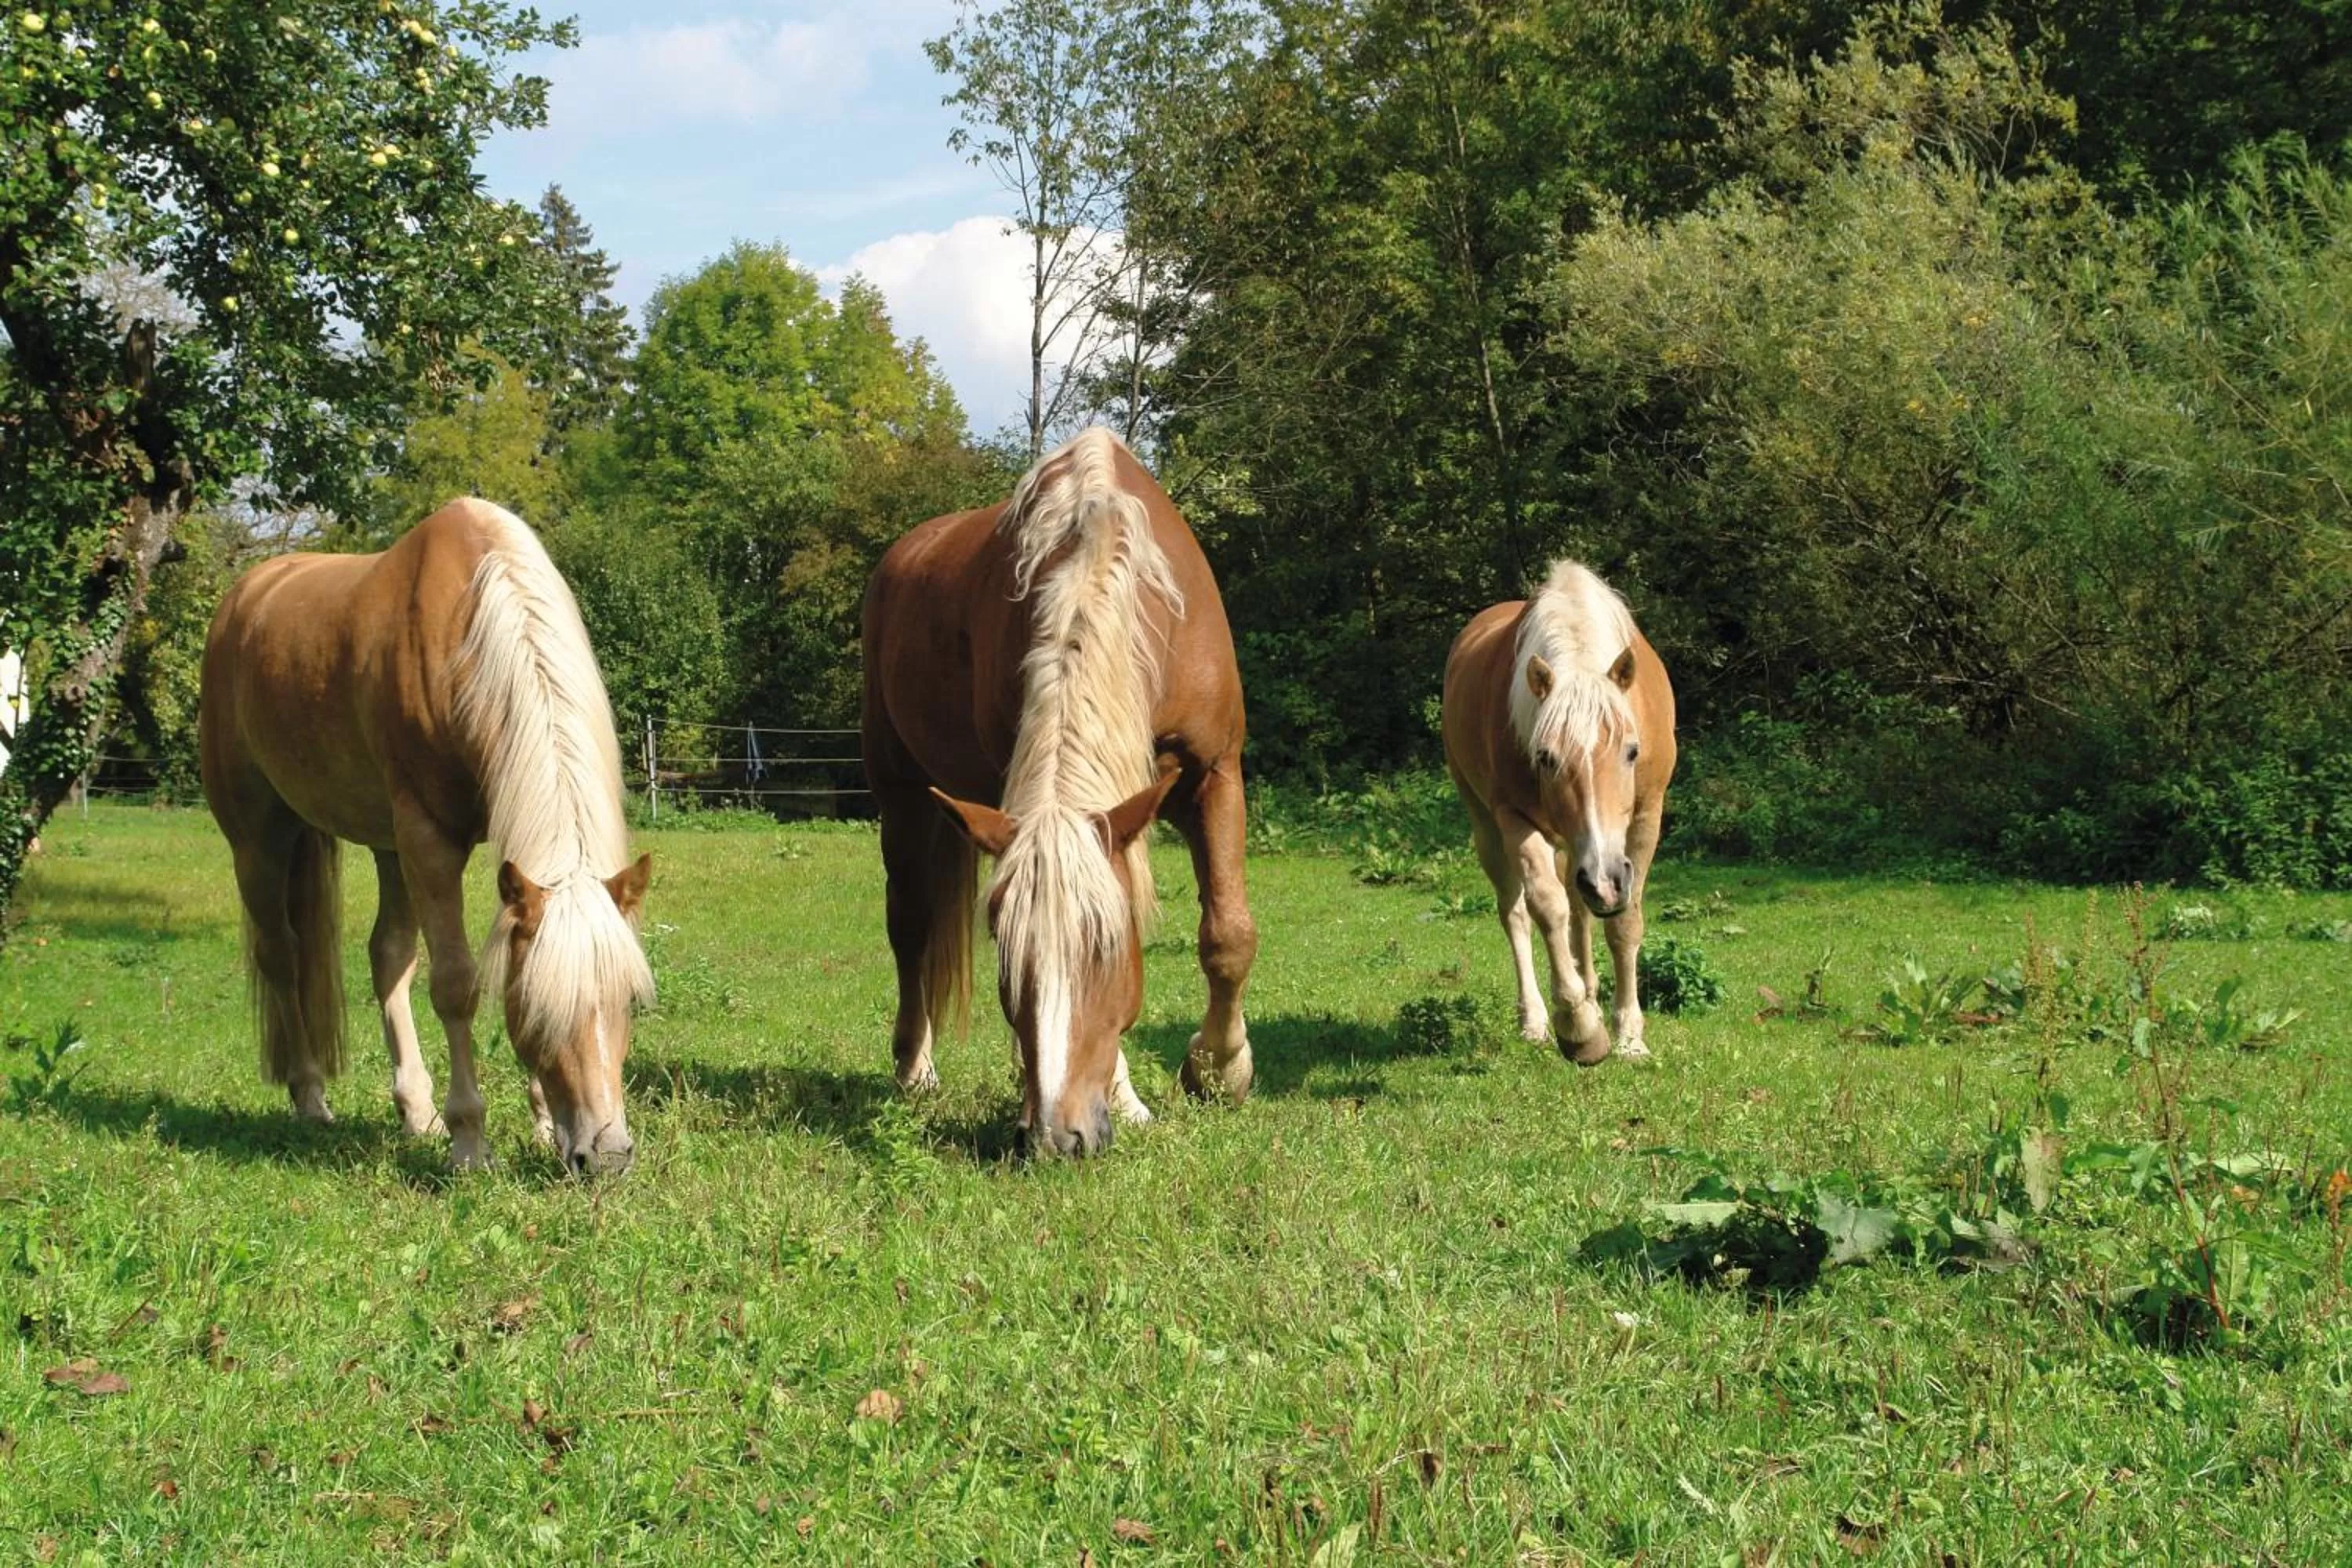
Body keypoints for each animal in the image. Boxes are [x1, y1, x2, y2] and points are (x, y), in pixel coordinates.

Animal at [199, 498, 654, 1173]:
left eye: (626, 1001)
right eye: (541, 1009)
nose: (606, 1157)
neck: (468, 628)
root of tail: (246, 594)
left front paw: (541, 1125)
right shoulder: (430, 840)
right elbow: (456, 984)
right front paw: (469, 1140)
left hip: (386, 848)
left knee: (387, 955)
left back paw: (416, 1111)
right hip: (261, 839)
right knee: (280, 953)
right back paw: (310, 1097)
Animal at [861, 427, 1258, 1157]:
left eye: (1108, 944)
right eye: (1007, 948)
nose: (1055, 1134)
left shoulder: (1215, 771)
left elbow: (1228, 936)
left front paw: (1220, 1071)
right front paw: (1128, 1097)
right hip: (898, 793)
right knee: (910, 926)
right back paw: (914, 1068)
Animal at [1442, 559, 1676, 1064]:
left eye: (1632, 751)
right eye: (1546, 757)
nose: (1606, 881)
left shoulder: (1644, 820)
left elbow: (1623, 922)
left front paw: (1629, 1035)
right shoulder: (1515, 819)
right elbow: (1547, 907)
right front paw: (1579, 1027)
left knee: (1580, 904)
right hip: (1489, 829)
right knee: (1517, 913)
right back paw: (1535, 1019)